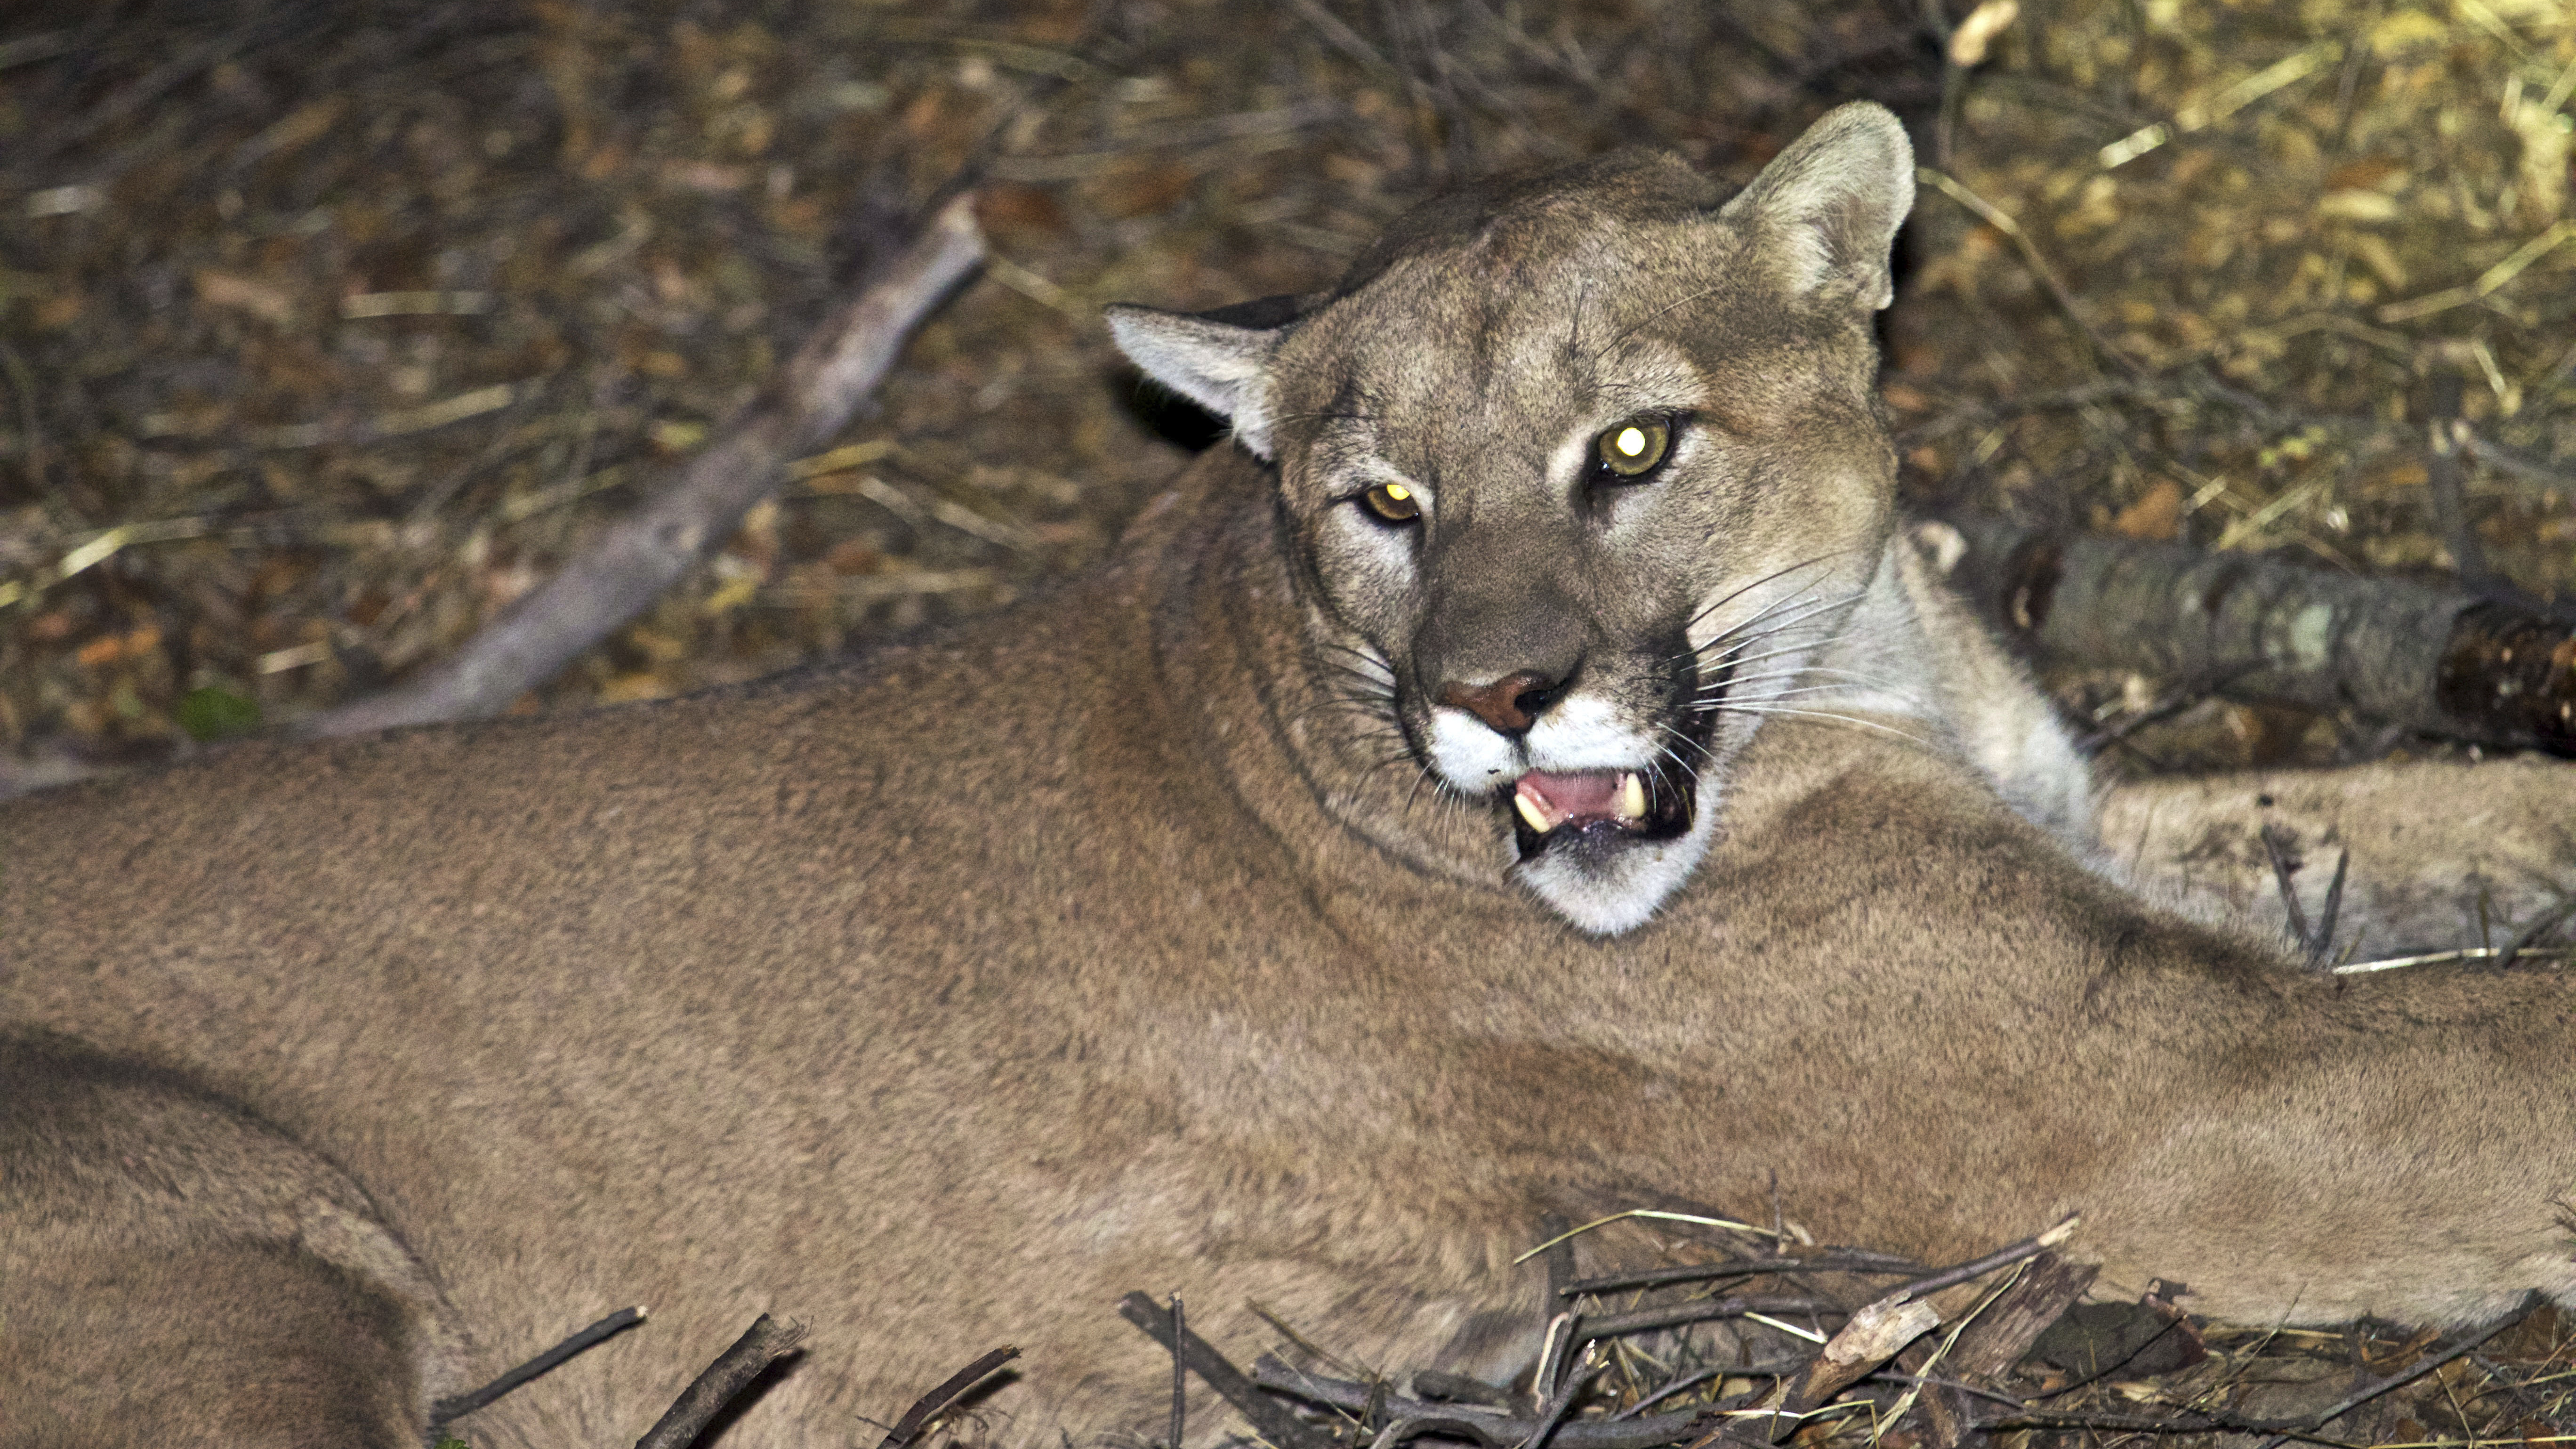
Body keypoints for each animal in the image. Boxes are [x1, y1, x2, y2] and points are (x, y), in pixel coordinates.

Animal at [5, 104, 2576, 1444]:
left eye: (1627, 447)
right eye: (1384, 503)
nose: (1505, 695)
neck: (1860, 664)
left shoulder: (2132, 879)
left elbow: (2420, 833)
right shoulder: (2168, 1092)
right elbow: (2510, 1036)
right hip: (248, 1264)